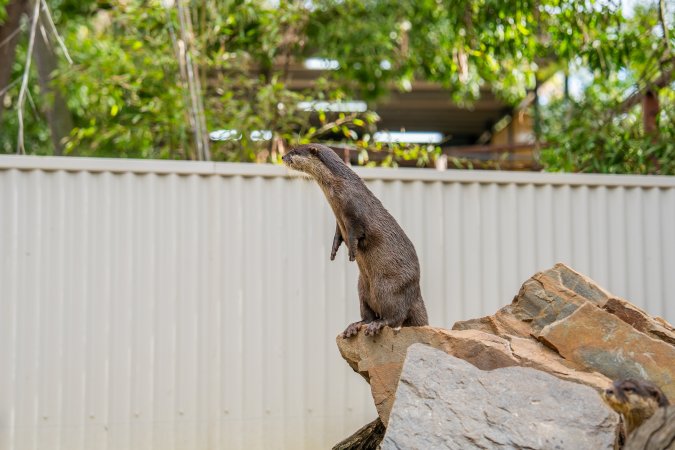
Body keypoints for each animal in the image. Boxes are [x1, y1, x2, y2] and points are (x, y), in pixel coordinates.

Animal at [282, 144, 429, 337]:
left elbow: (355, 233)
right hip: (362, 289)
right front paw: (334, 250)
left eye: (295, 151)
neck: (338, 187)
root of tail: (416, 293)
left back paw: (377, 325)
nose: (282, 157)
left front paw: (352, 252)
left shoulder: (355, 212)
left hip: (389, 288)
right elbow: (338, 234)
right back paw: (355, 326)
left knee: (396, 316)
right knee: (368, 314)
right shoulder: (339, 221)